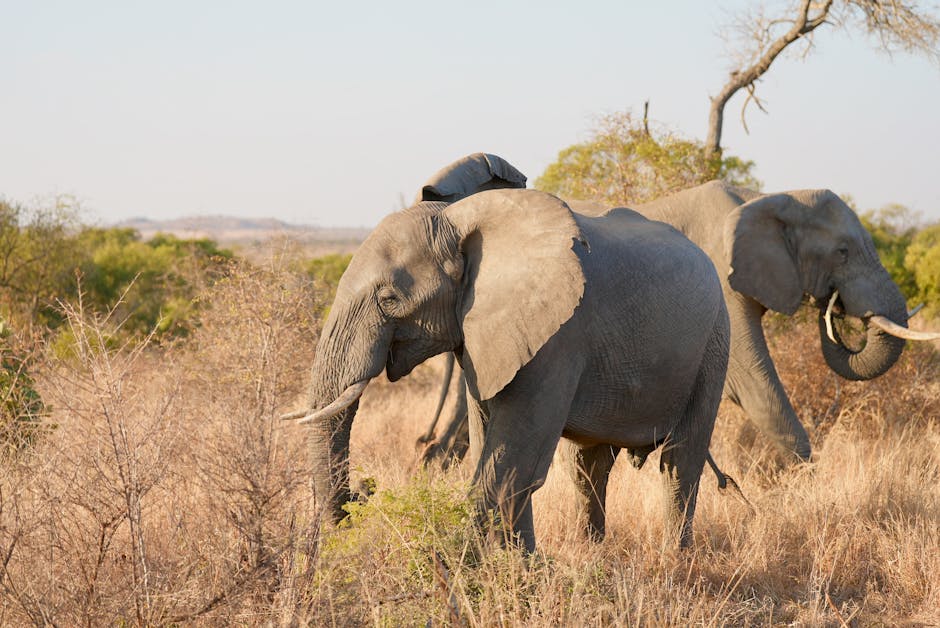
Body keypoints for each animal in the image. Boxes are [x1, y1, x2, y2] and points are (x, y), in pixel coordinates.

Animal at [286, 184, 731, 552]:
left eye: (390, 298)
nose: (365, 489)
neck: (457, 221)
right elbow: (495, 447)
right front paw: (522, 565)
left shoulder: (559, 336)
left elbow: (513, 465)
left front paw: (466, 566)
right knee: (589, 467)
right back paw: (594, 551)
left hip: (714, 341)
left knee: (679, 462)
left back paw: (676, 560)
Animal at [422, 181, 939, 466]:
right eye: (843, 252)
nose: (834, 307)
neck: (766, 198)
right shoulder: (721, 280)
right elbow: (753, 382)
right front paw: (807, 482)